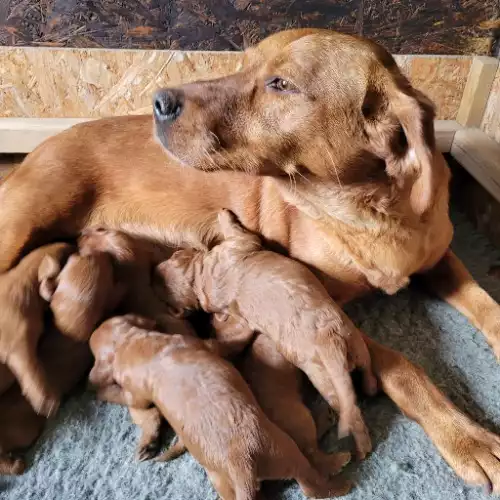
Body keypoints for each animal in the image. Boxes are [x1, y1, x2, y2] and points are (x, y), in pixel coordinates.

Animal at [89, 314, 352, 498]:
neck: (133, 345)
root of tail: (242, 466)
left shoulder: (138, 389)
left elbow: (135, 400)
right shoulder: (208, 345)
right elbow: (231, 340)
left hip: (222, 481)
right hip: (287, 447)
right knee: (312, 475)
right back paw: (341, 470)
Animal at [154, 208, 376, 458]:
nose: (151, 271)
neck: (200, 280)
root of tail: (330, 345)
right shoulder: (239, 245)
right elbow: (241, 233)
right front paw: (224, 214)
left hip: (354, 342)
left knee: (367, 374)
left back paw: (370, 392)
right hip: (332, 373)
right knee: (353, 409)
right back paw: (362, 448)